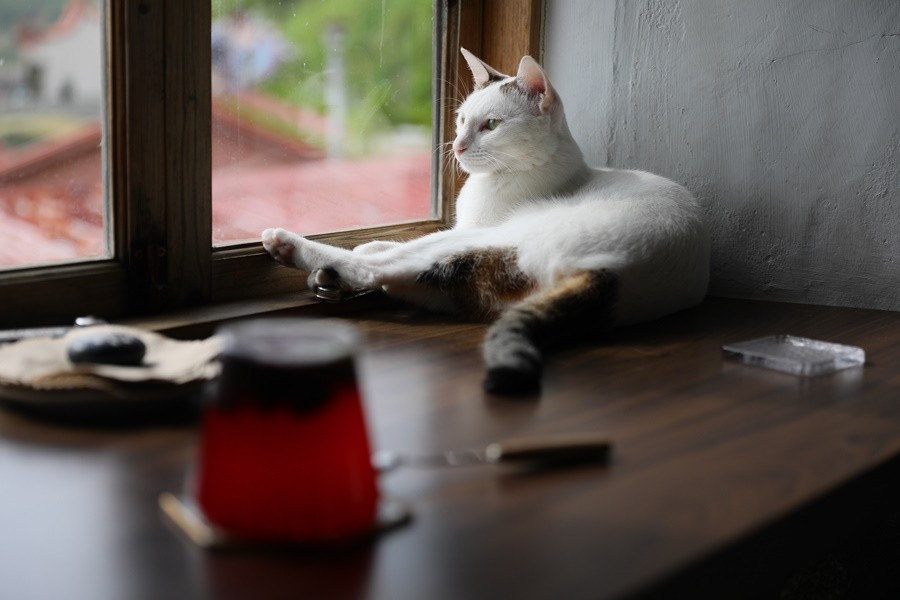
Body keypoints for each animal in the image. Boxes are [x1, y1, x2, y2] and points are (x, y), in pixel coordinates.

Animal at [262, 49, 712, 396]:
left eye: (491, 125)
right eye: (461, 119)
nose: (458, 145)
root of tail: (612, 274)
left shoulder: (473, 229)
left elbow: (412, 242)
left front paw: (364, 246)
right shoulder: (465, 230)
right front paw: (373, 241)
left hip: (501, 239)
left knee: (382, 270)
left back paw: (291, 246)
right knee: (408, 278)